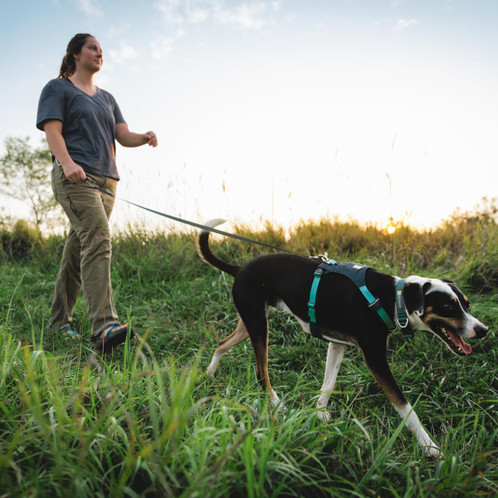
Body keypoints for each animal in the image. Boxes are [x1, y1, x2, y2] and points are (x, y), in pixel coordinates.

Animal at [196, 220, 488, 458]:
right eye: (448, 307)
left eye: (467, 305)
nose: (483, 330)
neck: (392, 297)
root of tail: (240, 268)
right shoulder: (375, 360)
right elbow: (406, 408)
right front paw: (431, 448)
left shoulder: (337, 344)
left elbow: (328, 383)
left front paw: (318, 414)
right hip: (259, 325)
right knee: (261, 371)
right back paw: (278, 406)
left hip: (249, 322)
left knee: (222, 344)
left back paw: (209, 374)